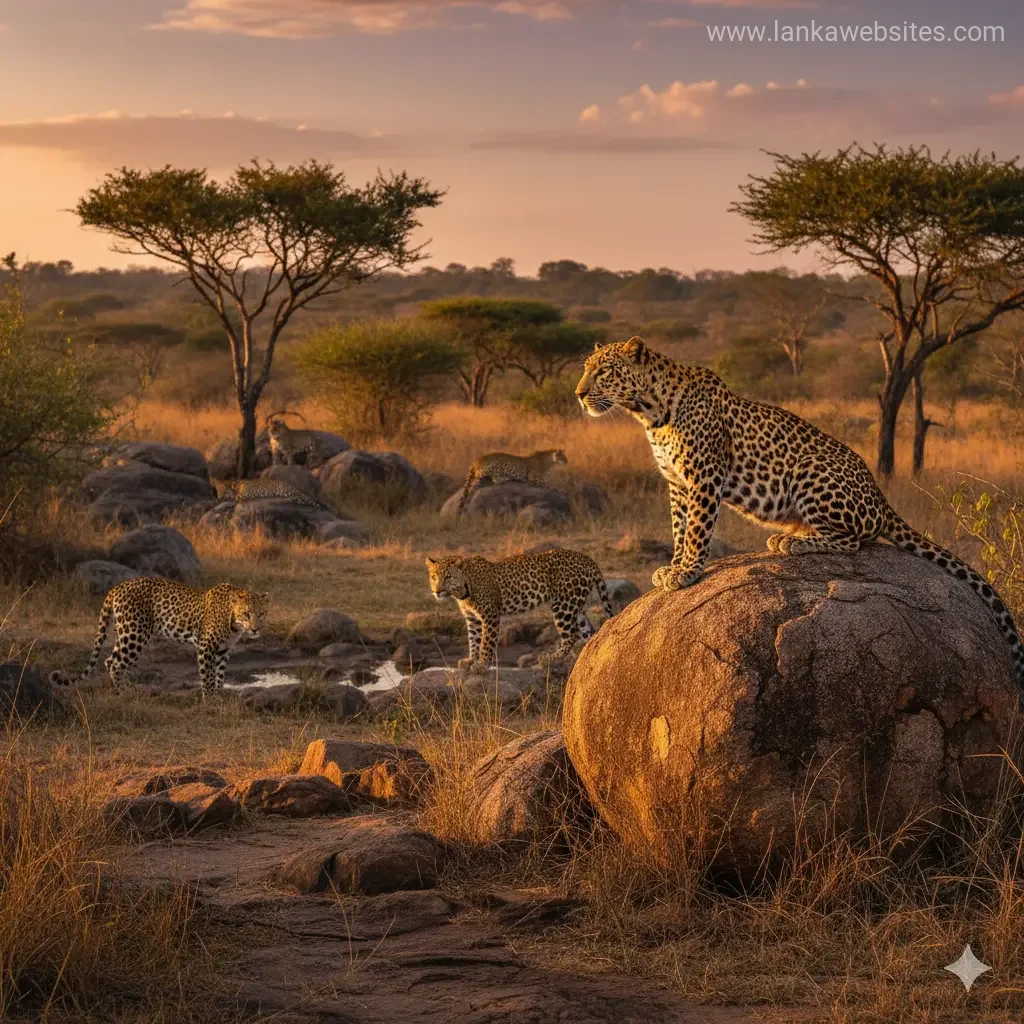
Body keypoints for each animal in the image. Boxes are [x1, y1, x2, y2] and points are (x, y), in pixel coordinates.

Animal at [50, 578, 269, 699]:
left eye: (261, 614)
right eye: (247, 614)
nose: (255, 630)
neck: (233, 622)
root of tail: (117, 587)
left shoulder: (223, 650)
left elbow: (220, 675)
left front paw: (219, 696)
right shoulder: (206, 646)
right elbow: (207, 675)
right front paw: (210, 700)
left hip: (124, 633)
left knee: (110, 660)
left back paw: (129, 689)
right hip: (135, 634)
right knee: (116, 663)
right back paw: (128, 692)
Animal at [425, 548, 613, 669]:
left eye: (448, 577)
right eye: (434, 577)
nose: (437, 591)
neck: (462, 592)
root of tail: (588, 559)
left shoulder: (490, 616)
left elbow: (486, 642)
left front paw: (483, 664)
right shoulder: (472, 619)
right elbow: (474, 640)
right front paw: (471, 660)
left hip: (563, 606)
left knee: (570, 636)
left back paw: (551, 658)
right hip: (576, 607)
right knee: (589, 632)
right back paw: (588, 656)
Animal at [575, 336, 1024, 699]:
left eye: (604, 371)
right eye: (585, 368)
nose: (579, 395)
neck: (649, 412)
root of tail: (881, 497)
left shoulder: (704, 477)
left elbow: (698, 531)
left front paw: (687, 571)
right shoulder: (676, 485)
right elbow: (679, 528)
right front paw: (671, 567)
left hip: (812, 471)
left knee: (855, 541)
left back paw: (793, 541)